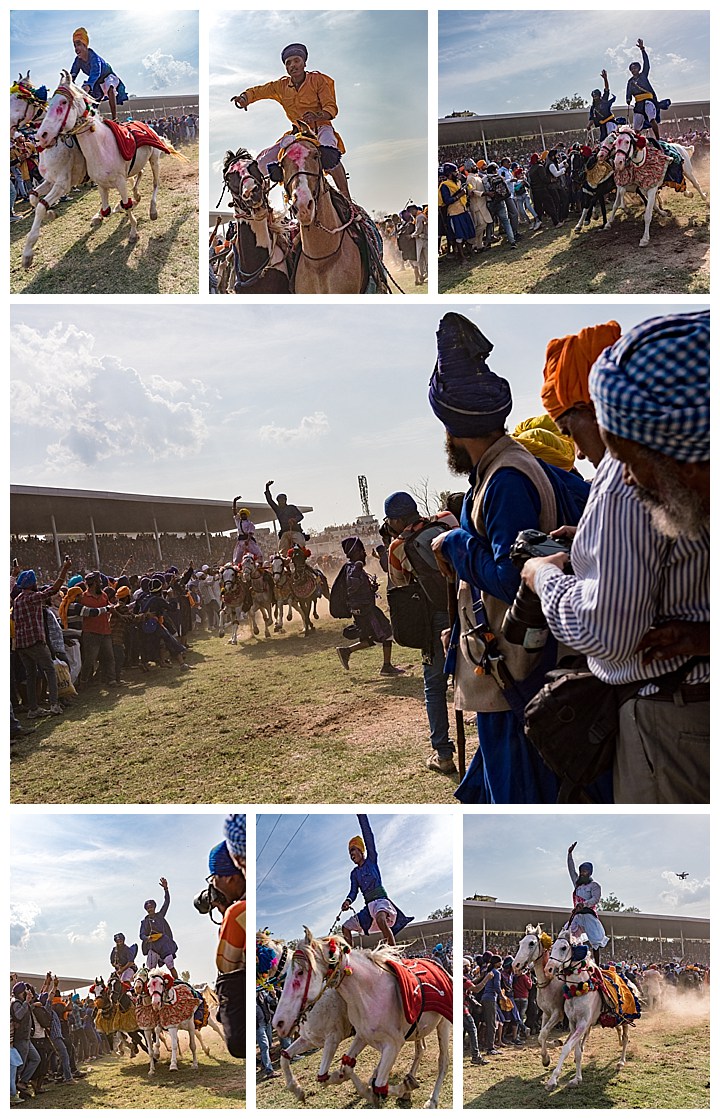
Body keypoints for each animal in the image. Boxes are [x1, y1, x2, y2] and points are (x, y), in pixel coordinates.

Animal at [35, 72, 176, 245]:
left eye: (63, 102)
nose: (42, 135)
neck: (100, 148)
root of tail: (147, 125)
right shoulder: (101, 184)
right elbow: (107, 210)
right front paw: (111, 211)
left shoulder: (120, 182)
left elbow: (126, 204)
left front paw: (133, 232)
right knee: (140, 173)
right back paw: (136, 196)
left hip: (154, 159)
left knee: (156, 183)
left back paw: (153, 210)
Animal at [257, 931, 353, 1105]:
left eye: (299, 973)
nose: (278, 1023)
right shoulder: (309, 1040)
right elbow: (284, 1057)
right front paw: (297, 1090)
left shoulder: (333, 1038)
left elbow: (323, 1077)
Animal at [512, 922, 568, 1069]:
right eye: (520, 942)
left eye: (531, 943)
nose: (516, 965)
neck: (549, 983)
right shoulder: (545, 1013)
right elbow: (542, 1035)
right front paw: (545, 1058)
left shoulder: (557, 1013)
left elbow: (542, 1035)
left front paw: (553, 1046)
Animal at [546, 926, 631, 1092]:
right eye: (552, 947)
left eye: (563, 947)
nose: (549, 968)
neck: (578, 990)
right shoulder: (573, 1024)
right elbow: (577, 1051)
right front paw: (577, 1079)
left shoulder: (583, 1023)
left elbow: (566, 1048)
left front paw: (552, 1080)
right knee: (619, 1033)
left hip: (625, 1019)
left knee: (625, 1038)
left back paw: (621, 1061)